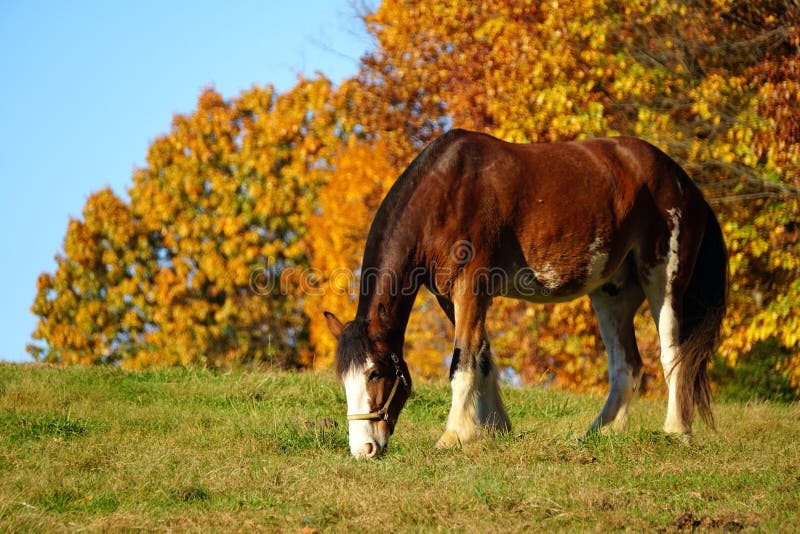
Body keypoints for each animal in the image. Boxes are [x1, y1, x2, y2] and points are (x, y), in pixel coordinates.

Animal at [324, 130, 724, 460]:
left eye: (375, 373)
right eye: (344, 379)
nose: (363, 449)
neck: (446, 192)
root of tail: (684, 182)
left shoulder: (471, 288)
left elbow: (463, 362)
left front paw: (454, 437)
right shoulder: (451, 298)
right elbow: (483, 357)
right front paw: (494, 429)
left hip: (663, 278)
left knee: (673, 354)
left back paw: (676, 432)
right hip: (612, 294)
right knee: (626, 365)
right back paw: (599, 434)